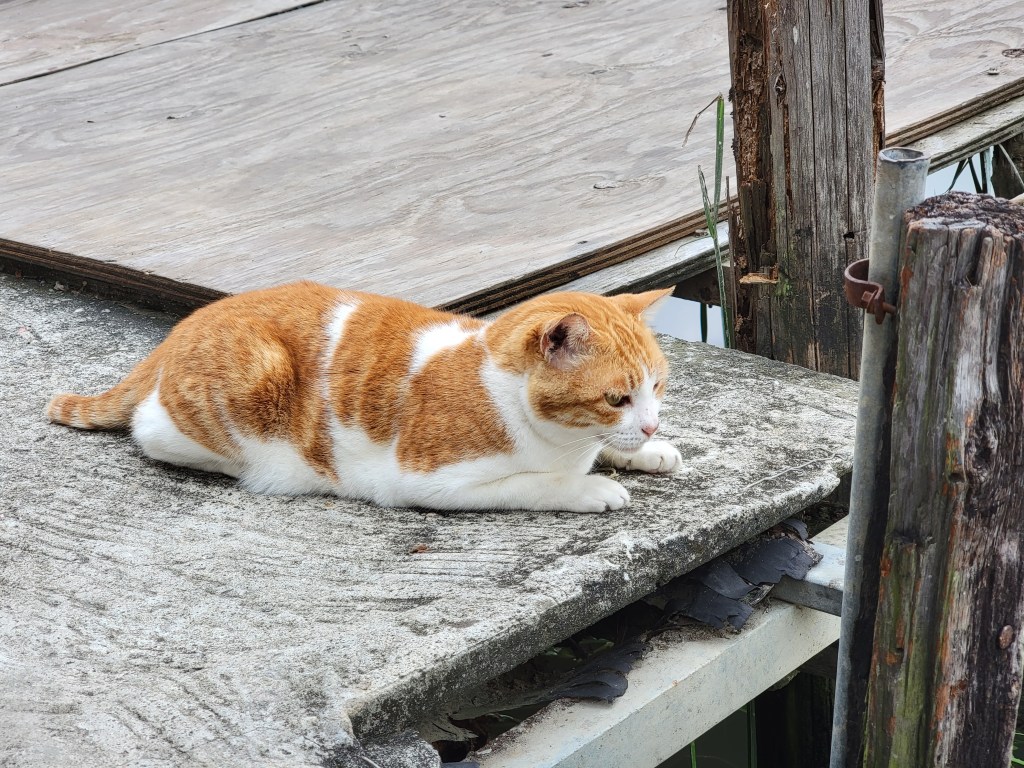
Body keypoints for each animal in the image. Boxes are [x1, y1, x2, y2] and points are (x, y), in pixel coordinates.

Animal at [46, 281, 682, 512]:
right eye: (616, 399)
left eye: (656, 387)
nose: (652, 425)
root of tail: (183, 326)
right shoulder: (426, 480)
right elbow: (533, 484)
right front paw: (591, 487)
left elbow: (608, 449)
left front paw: (649, 451)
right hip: (251, 382)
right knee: (151, 429)